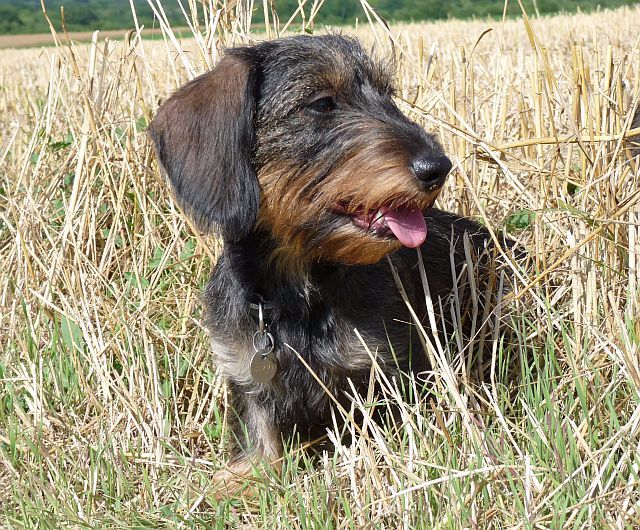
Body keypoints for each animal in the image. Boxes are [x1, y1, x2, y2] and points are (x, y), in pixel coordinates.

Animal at [150, 34, 510, 490]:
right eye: (322, 103)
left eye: (387, 95)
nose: (438, 167)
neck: (298, 294)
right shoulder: (246, 373)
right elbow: (259, 442)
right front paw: (237, 482)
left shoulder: (389, 372)